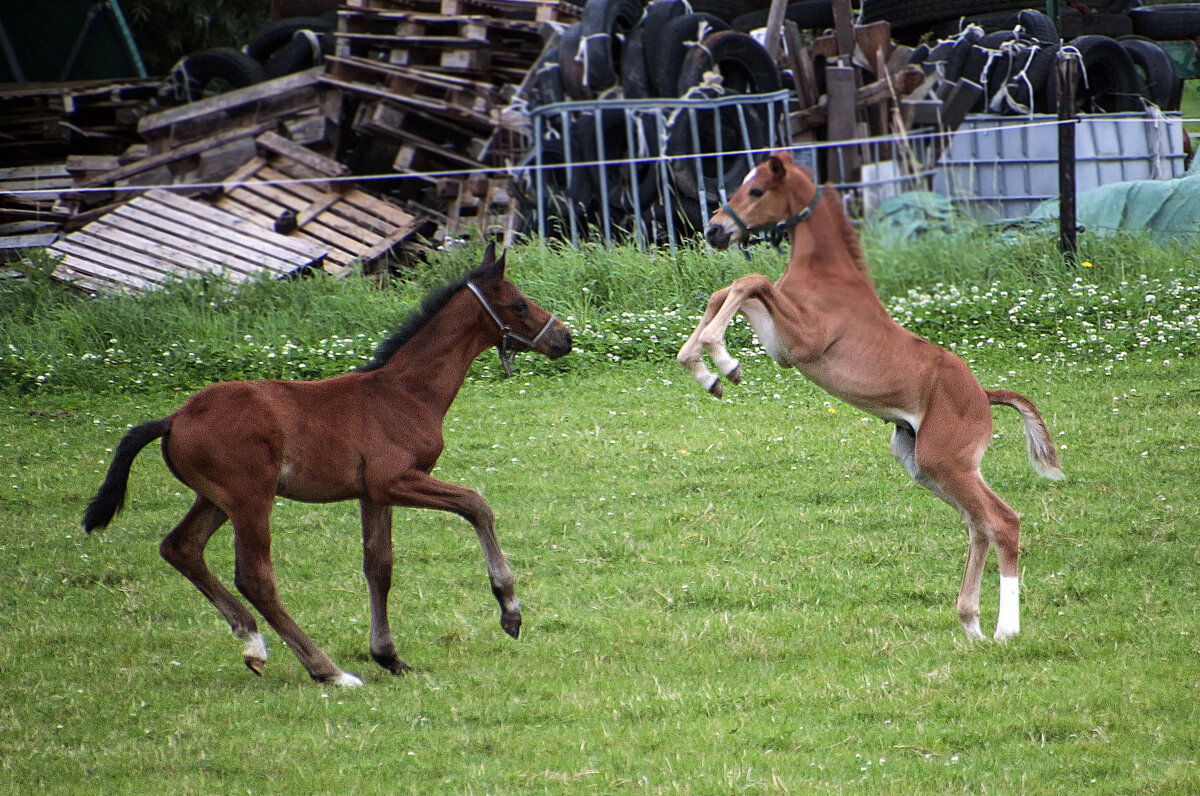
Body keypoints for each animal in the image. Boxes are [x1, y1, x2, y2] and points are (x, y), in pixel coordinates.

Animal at [83, 244, 571, 686]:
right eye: (519, 303)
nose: (563, 339)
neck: (406, 393)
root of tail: (174, 418)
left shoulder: (373, 493)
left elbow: (379, 566)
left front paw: (390, 657)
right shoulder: (395, 480)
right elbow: (476, 504)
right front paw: (509, 610)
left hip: (216, 499)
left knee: (180, 548)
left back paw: (254, 645)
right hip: (250, 499)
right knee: (255, 577)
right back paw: (328, 670)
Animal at [681, 152, 1065, 643]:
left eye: (756, 190)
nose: (715, 230)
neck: (826, 275)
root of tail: (983, 394)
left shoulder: (801, 343)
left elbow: (750, 280)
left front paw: (723, 362)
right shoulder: (781, 343)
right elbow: (728, 291)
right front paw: (705, 370)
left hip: (948, 462)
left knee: (1002, 521)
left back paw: (1005, 630)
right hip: (922, 464)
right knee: (978, 525)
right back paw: (971, 625)